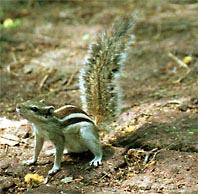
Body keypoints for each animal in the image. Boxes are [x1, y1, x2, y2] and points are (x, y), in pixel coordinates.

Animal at [16, 16, 135, 174]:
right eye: (28, 100)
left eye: (34, 108)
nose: (18, 106)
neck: (42, 124)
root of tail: (96, 128)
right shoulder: (39, 136)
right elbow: (37, 149)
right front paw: (32, 160)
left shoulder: (58, 138)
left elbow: (59, 152)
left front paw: (55, 168)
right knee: (69, 150)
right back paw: (51, 151)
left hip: (86, 134)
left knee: (97, 149)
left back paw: (96, 158)